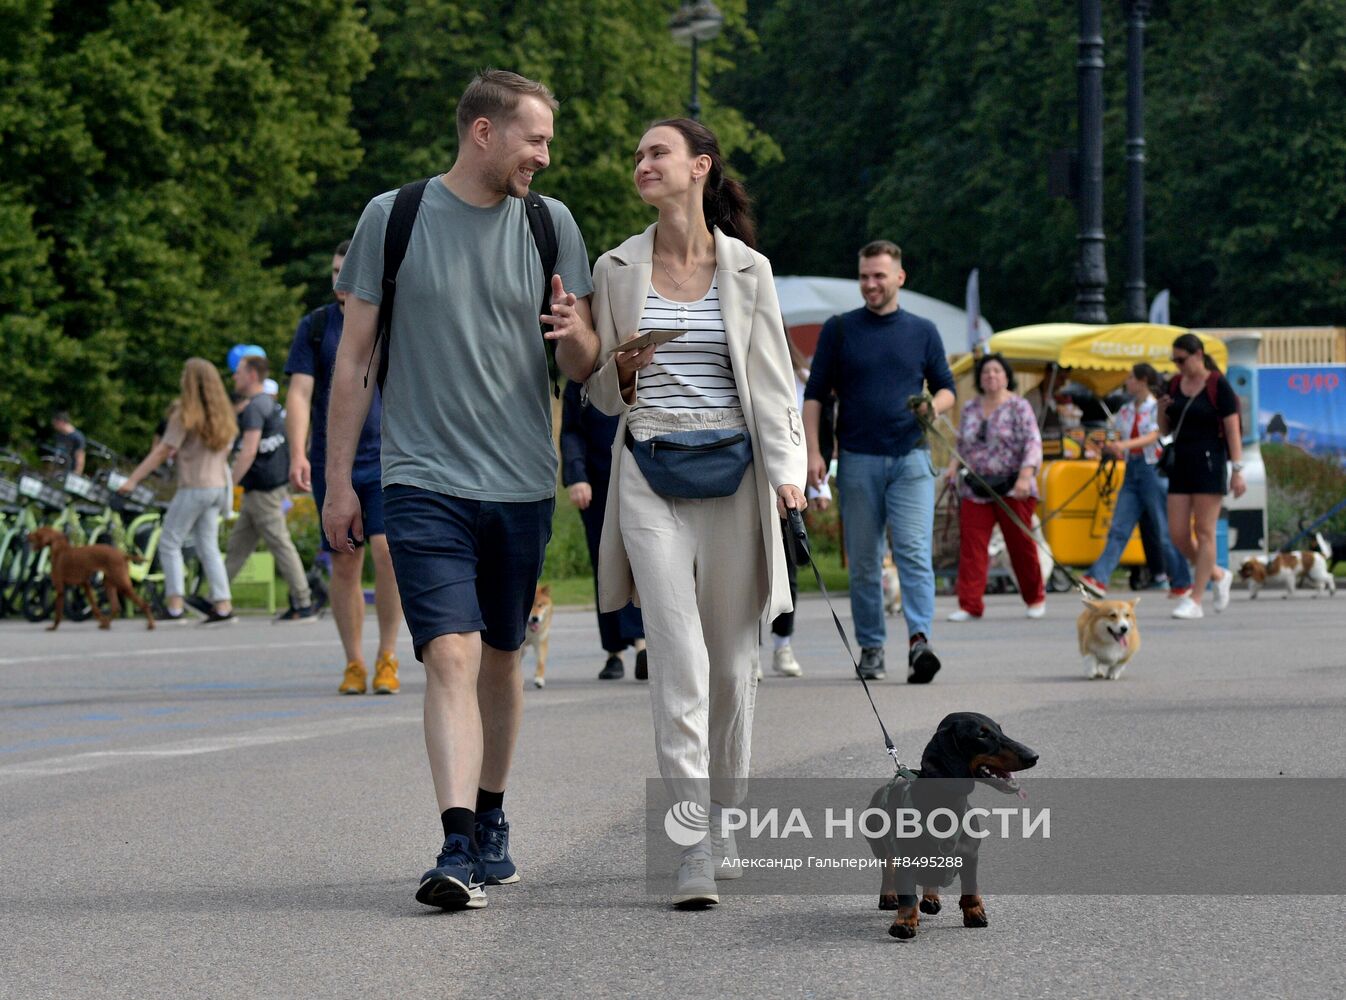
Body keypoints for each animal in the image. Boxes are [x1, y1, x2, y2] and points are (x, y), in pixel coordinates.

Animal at [26, 527, 154, 629]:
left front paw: (53, 627)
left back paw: (150, 625)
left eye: (36, 533)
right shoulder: (85, 584)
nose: (27, 535)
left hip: (121, 583)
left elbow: (58, 613)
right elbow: (94, 607)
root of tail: (122, 555)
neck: (61, 550)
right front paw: (101, 620)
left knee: (144, 604)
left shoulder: (60, 589)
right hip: (109, 583)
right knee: (115, 607)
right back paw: (106, 624)